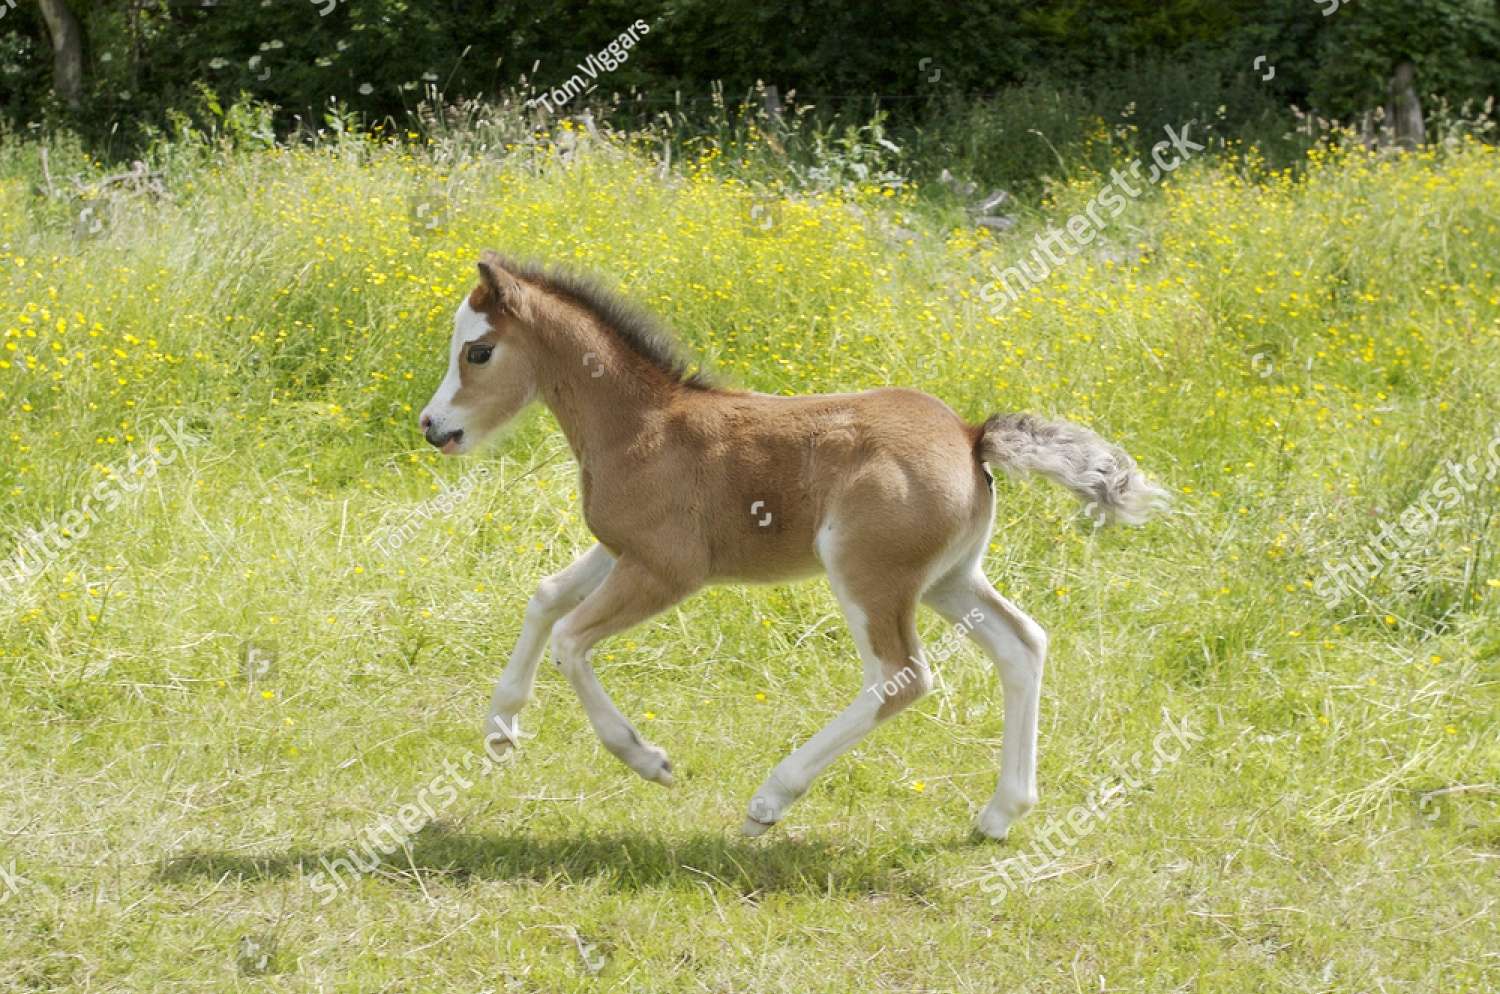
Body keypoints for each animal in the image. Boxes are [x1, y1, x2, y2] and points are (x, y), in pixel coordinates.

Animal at [423, 254, 1170, 839]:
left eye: (479, 351)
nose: (434, 427)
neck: (641, 426)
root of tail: (970, 436)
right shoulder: (621, 550)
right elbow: (545, 597)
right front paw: (500, 729)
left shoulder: (669, 569)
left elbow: (570, 640)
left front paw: (649, 760)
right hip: (949, 579)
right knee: (1022, 646)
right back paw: (998, 814)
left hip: (867, 573)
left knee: (902, 676)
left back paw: (770, 799)